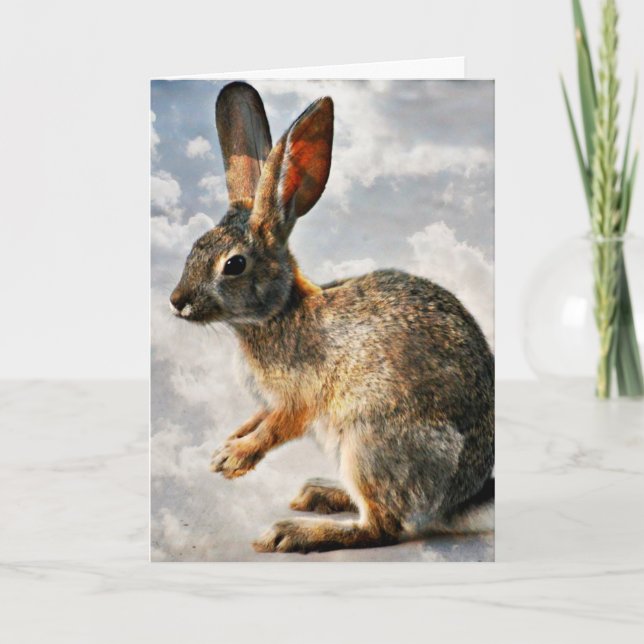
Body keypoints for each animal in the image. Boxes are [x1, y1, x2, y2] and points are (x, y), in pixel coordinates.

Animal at [169, 81, 494, 553]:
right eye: (195, 247)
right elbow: (257, 419)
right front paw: (227, 444)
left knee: (382, 527)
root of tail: (459, 500)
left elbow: (277, 427)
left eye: (234, 265)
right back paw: (318, 494)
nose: (176, 301)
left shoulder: (300, 397)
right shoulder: (270, 402)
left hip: (369, 442)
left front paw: (233, 458)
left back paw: (292, 533)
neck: (279, 313)